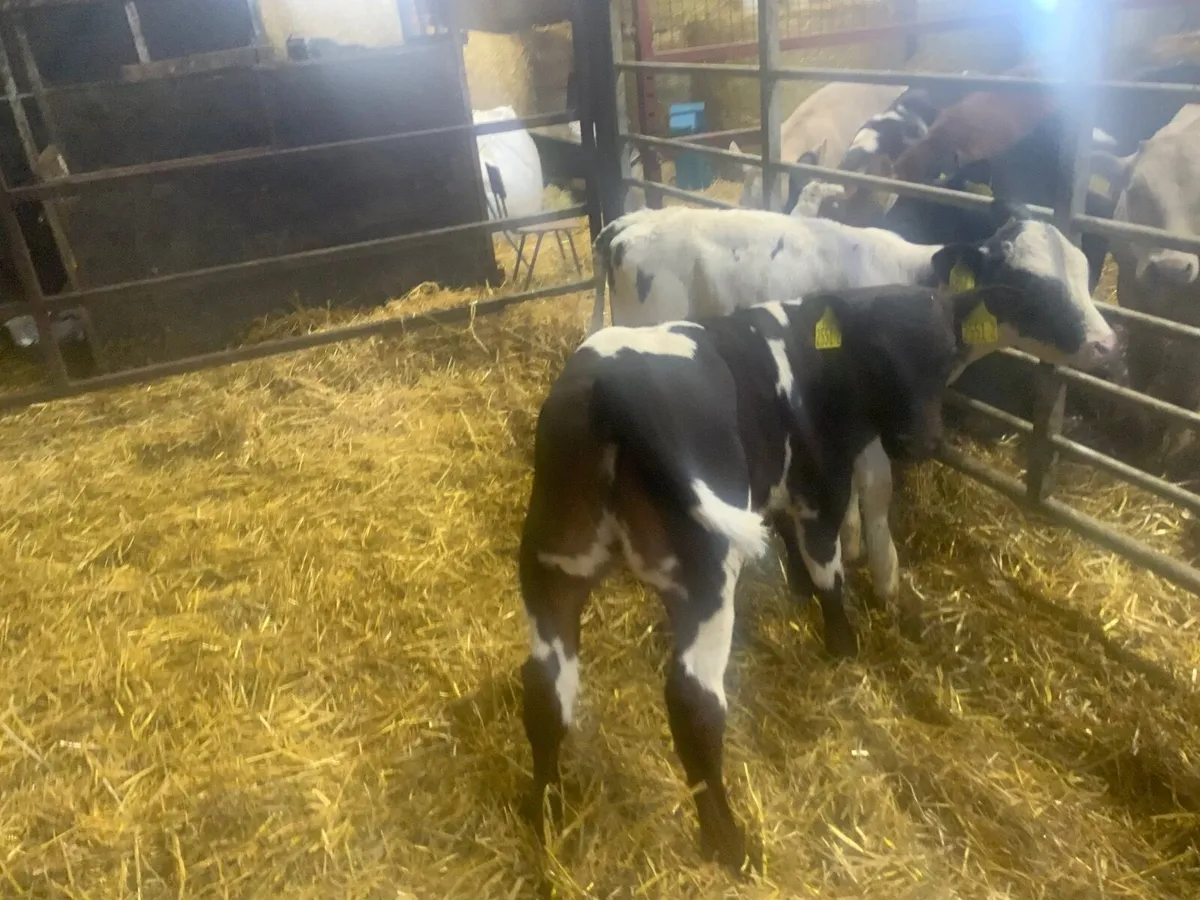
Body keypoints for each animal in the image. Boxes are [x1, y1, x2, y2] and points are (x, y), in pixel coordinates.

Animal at [518, 260, 1123, 871]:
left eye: (945, 353)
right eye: (879, 354)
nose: (921, 440)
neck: (817, 362)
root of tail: (611, 390)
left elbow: (796, 547)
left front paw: (803, 592)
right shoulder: (823, 487)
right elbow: (828, 566)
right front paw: (842, 641)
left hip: (553, 563)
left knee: (546, 688)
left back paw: (544, 813)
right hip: (702, 579)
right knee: (694, 703)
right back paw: (728, 841)